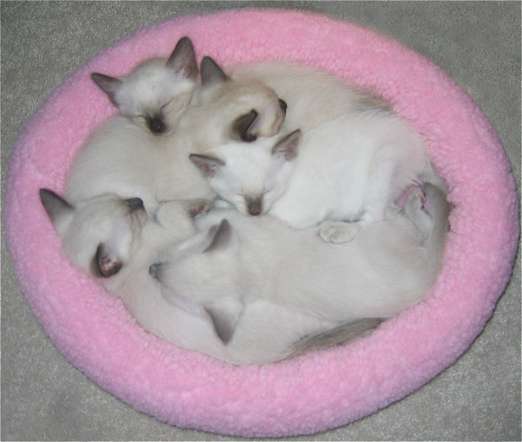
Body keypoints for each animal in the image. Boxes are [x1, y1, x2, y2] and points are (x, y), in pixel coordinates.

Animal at [152, 183, 448, 352]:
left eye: (169, 259)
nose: (151, 269)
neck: (247, 265)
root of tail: (426, 279)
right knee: (424, 226)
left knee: (420, 223)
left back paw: (413, 198)